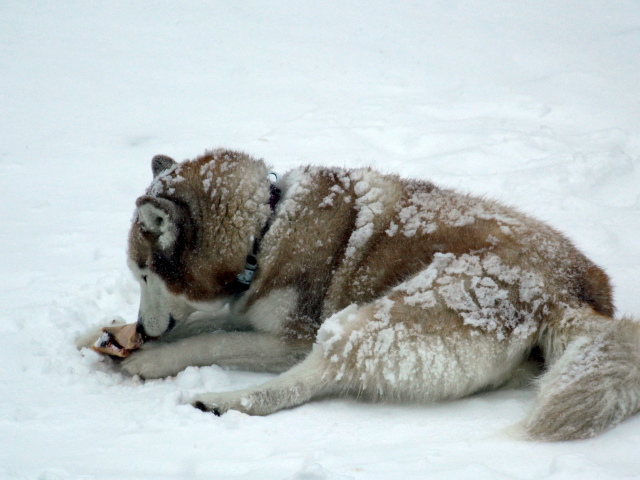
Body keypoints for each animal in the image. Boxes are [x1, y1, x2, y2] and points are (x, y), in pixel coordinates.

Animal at [80, 148, 640, 440]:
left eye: (144, 275)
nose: (144, 328)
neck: (266, 227)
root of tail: (570, 293)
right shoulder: (250, 309)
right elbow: (209, 322)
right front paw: (100, 333)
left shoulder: (291, 338)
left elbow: (209, 340)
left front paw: (149, 358)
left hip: (380, 317)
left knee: (302, 382)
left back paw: (218, 401)